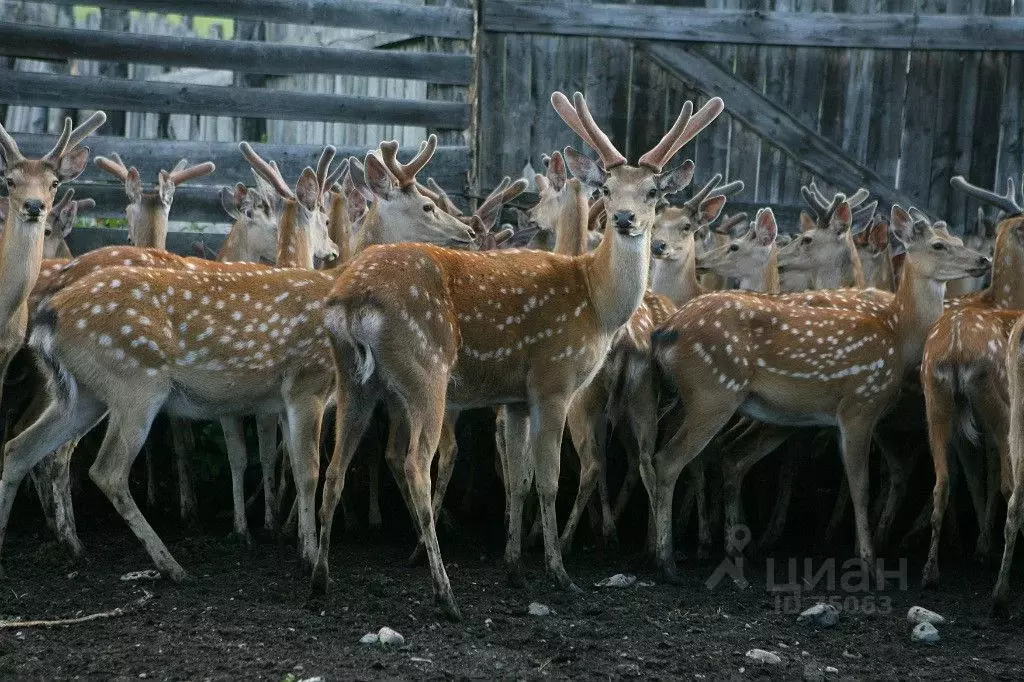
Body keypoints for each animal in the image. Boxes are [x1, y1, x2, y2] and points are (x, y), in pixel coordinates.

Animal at [315, 89, 724, 614]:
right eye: (606, 189)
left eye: (654, 192)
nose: (625, 219)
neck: (597, 301)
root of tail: (351, 298)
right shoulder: (553, 380)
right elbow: (549, 478)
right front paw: (558, 574)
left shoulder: (513, 398)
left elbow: (518, 478)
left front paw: (513, 568)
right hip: (426, 370)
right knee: (414, 464)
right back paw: (445, 593)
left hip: (352, 377)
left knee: (334, 466)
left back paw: (319, 579)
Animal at [647, 202, 991, 577]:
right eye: (938, 245)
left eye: (959, 239)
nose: (983, 260)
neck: (899, 337)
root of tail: (666, 330)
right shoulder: (860, 404)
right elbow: (860, 485)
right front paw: (868, 563)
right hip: (713, 392)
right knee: (668, 460)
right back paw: (667, 560)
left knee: (714, 457)